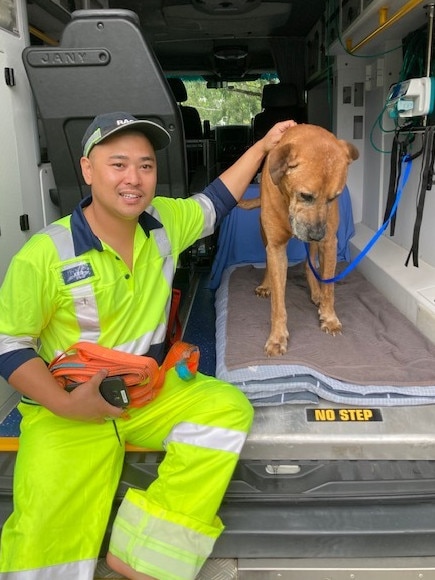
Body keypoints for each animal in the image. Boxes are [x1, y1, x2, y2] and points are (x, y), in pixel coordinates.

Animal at [240, 124, 360, 356]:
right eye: (305, 195)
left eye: (333, 198)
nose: (317, 235)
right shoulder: (276, 246)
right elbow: (278, 303)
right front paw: (277, 337)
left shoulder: (329, 243)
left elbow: (329, 287)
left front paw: (329, 317)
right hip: (264, 233)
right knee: (268, 261)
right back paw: (266, 284)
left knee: (309, 263)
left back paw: (316, 292)